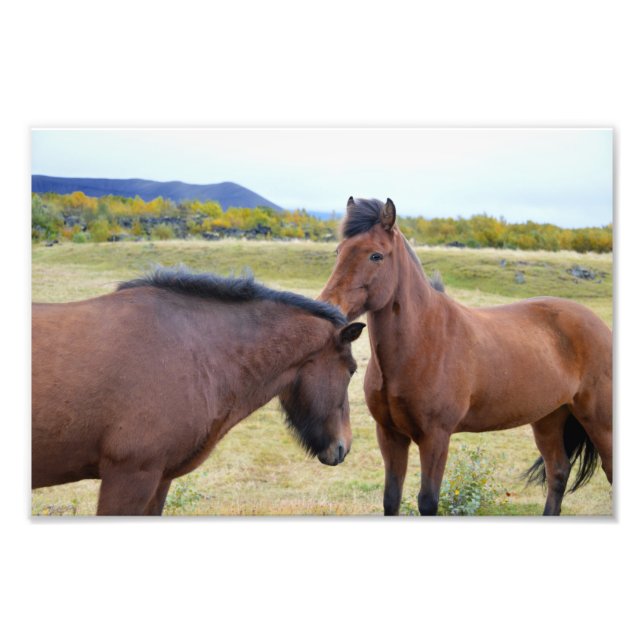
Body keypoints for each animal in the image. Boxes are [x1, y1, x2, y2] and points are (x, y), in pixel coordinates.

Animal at [319, 197, 612, 516]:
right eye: (338, 251)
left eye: (376, 256)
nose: (327, 308)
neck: (422, 342)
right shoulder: (390, 435)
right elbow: (391, 499)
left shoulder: (435, 438)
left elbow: (428, 501)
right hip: (548, 418)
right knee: (558, 472)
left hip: (600, 423)